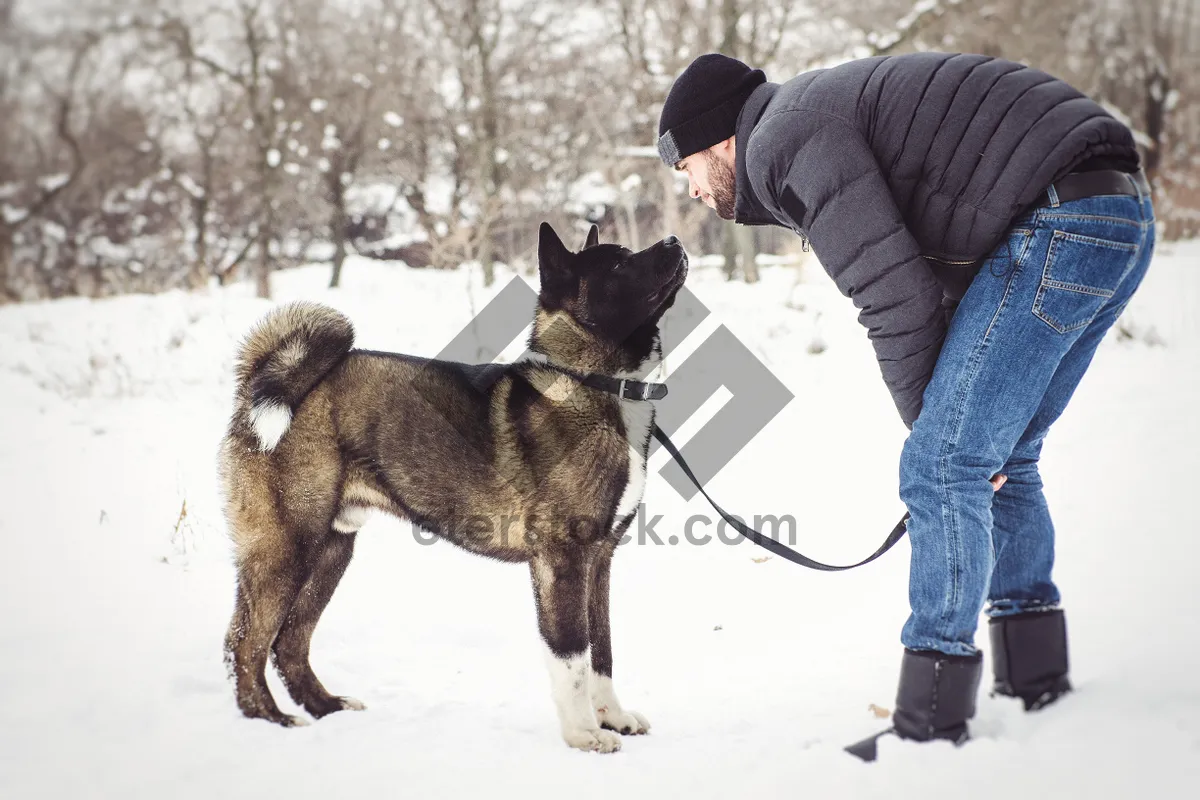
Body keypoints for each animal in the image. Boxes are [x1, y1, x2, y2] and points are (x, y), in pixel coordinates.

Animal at [220, 221, 691, 753]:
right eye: (618, 263)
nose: (674, 241)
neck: (592, 382)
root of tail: (265, 382)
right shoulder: (563, 560)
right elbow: (573, 654)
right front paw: (583, 734)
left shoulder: (600, 560)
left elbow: (603, 652)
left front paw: (612, 717)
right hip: (288, 549)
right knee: (246, 643)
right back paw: (270, 721)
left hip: (331, 551)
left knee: (289, 644)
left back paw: (328, 708)